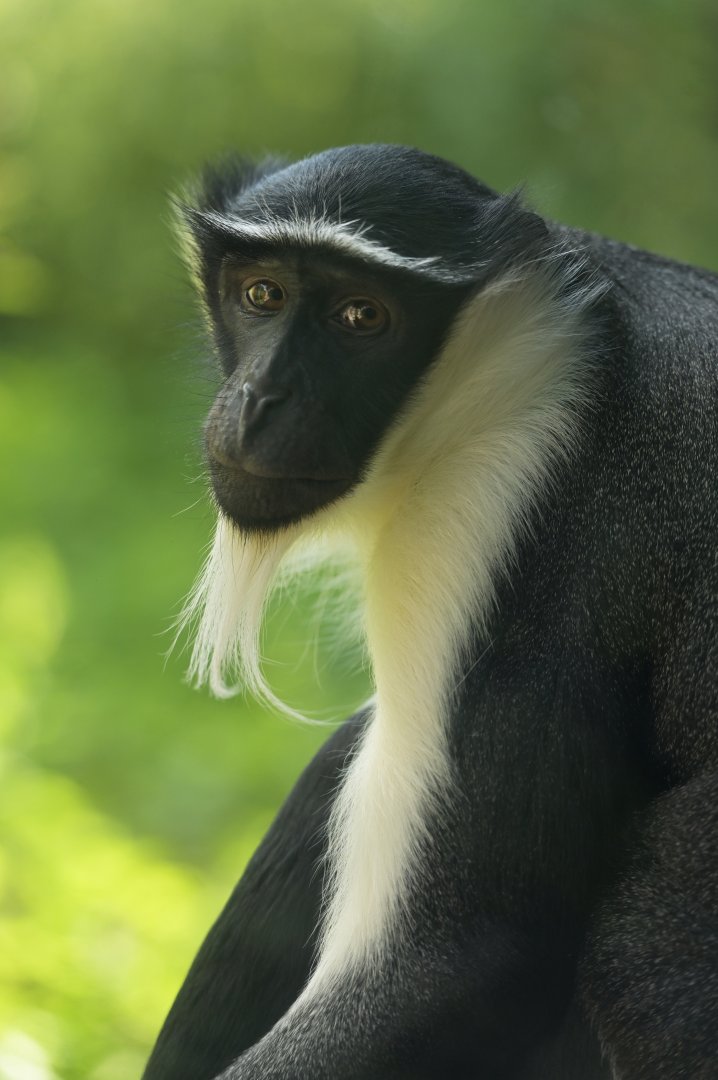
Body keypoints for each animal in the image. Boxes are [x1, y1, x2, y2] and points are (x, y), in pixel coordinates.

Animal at [142, 144, 718, 1080]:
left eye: (362, 316)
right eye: (262, 294)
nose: (259, 399)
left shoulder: (513, 510)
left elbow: (461, 958)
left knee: (640, 955)